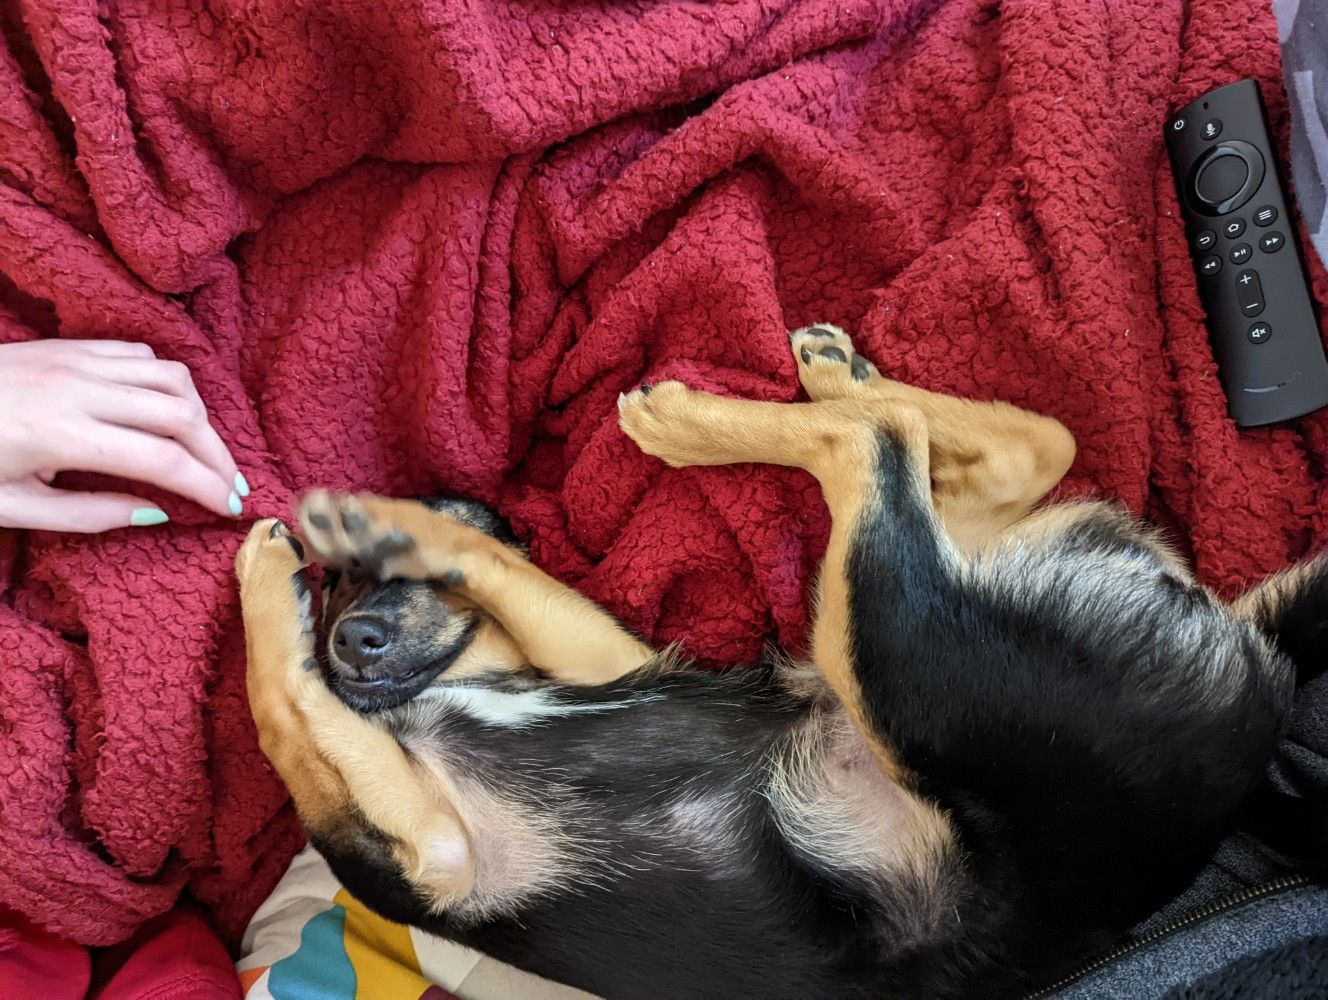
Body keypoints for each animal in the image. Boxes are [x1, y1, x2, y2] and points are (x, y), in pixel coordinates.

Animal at [233, 328, 1322, 998]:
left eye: (369, 592)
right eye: (341, 598)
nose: (350, 640)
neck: (467, 684)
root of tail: (1263, 678)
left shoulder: (434, 840)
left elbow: (280, 703)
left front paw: (296, 555)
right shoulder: (583, 685)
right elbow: (292, 704)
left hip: (890, 651)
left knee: (879, 443)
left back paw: (690, 417)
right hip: (909, 618)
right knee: (998, 444)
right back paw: (831, 375)